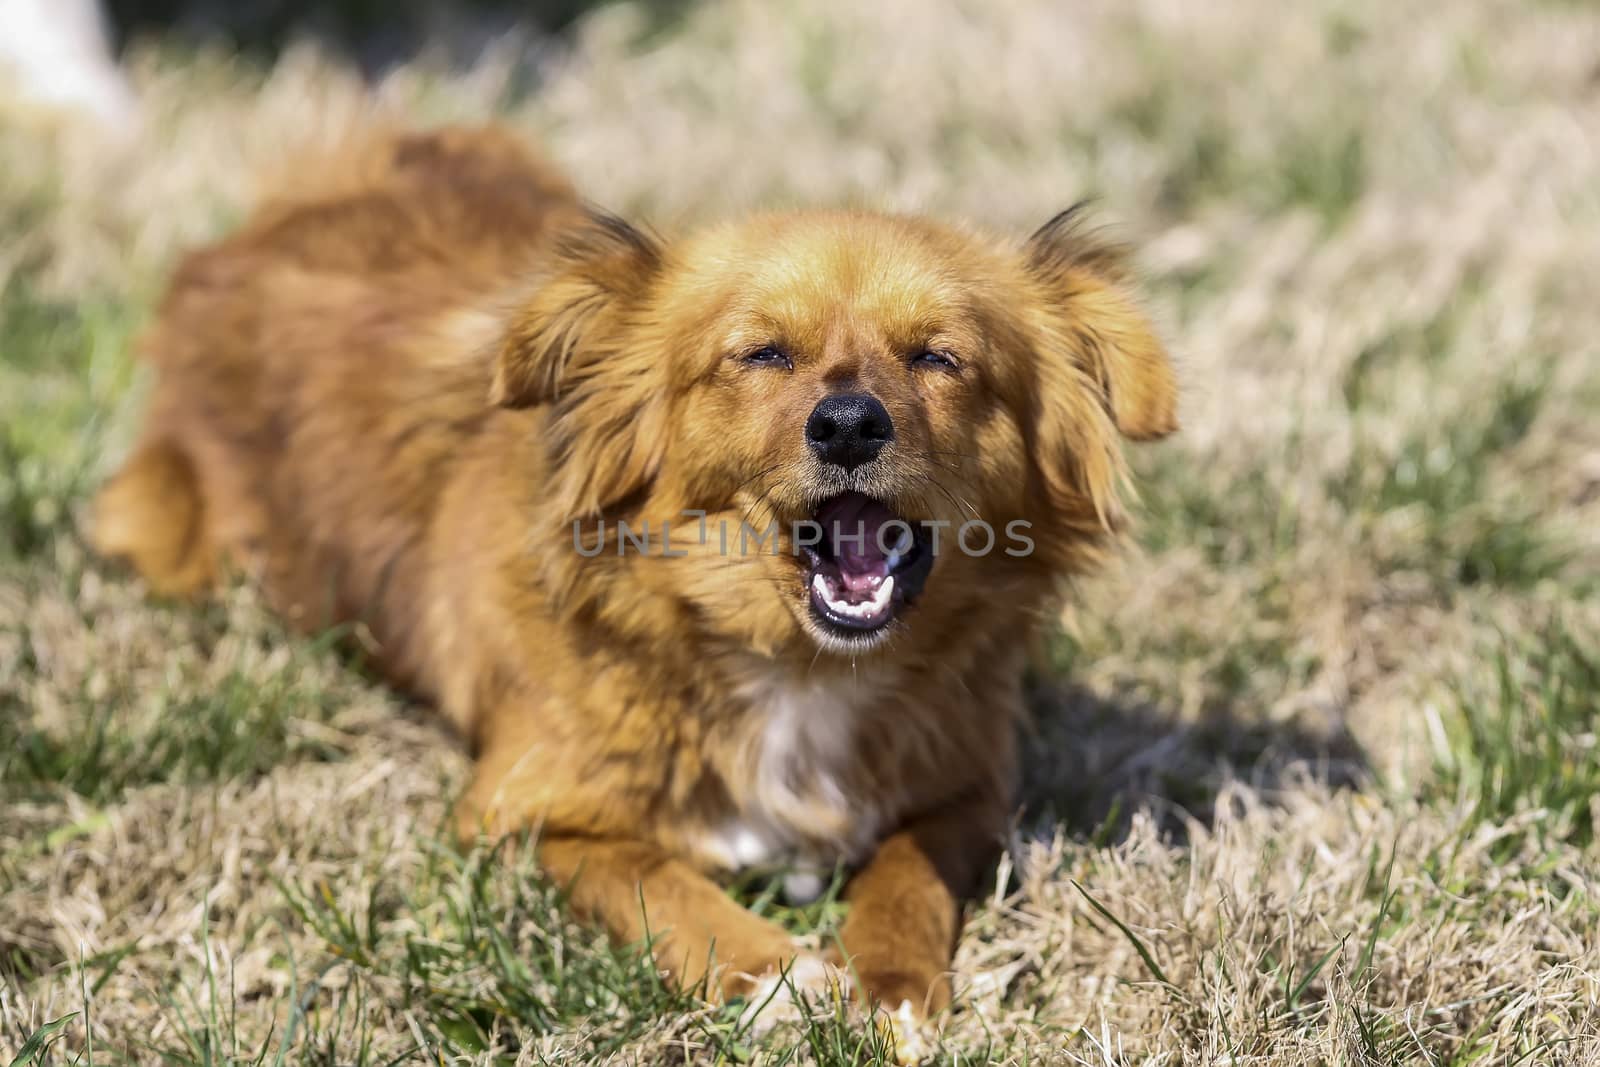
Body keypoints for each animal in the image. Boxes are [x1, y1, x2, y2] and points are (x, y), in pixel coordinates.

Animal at [93, 125, 1184, 1049]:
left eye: (939, 357)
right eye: (761, 353)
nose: (846, 423)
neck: (795, 665)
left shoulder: (968, 787)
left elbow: (904, 873)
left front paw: (889, 987)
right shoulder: (523, 818)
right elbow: (657, 877)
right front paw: (778, 976)